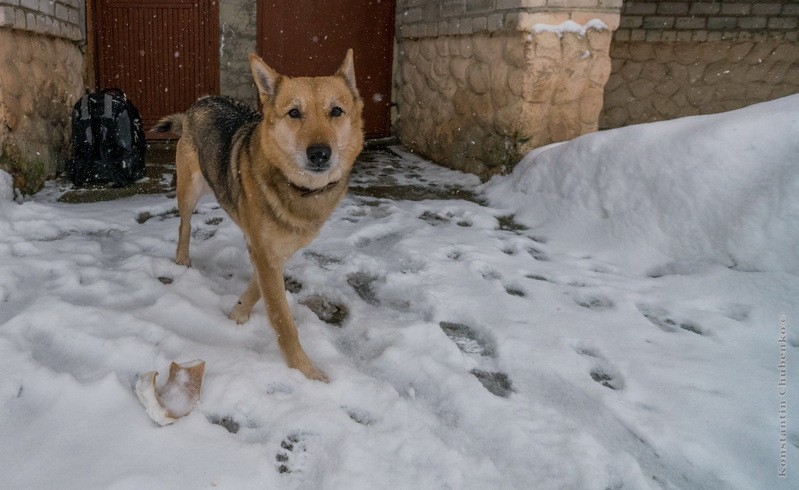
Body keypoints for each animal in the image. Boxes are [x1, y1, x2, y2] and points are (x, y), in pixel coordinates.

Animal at [153, 51, 366, 380]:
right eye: (294, 113)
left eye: (336, 111)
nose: (319, 153)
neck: (299, 191)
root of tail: (200, 101)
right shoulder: (265, 253)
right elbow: (282, 319)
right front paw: (305, 372)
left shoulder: (275, 251)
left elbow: (259, 289)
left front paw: (238, 312)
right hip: (189, 191)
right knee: (184, 225)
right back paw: (181, 259)